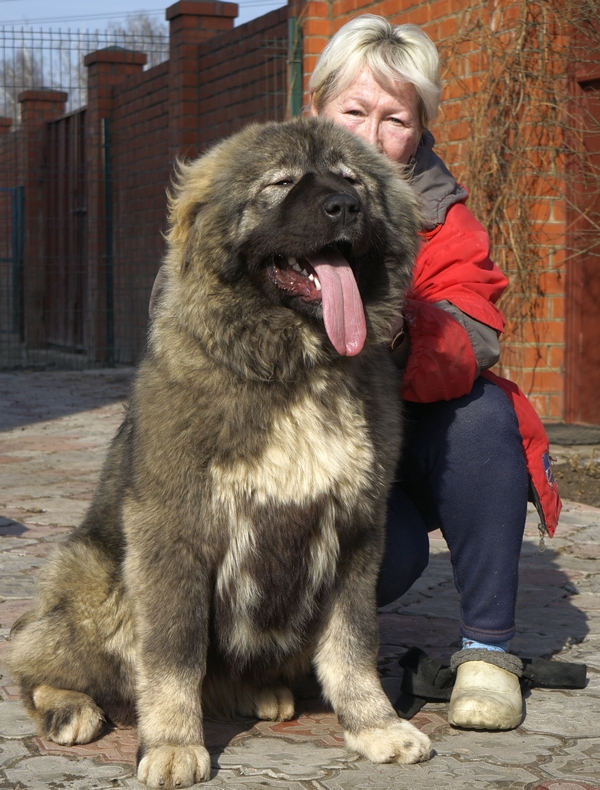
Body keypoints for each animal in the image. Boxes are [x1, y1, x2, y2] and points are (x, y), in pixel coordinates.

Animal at [8, 116, 432, 784]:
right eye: (281, 183)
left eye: (352, 180)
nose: (345, 206)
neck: (293, 369)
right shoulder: (174, 534)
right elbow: (174, 655)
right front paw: (172, 744)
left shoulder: (357, 533)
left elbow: (354, 646)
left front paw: (376, 726)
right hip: (92, 574)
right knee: (32, 659)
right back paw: (69, 707)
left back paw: (260, 693)